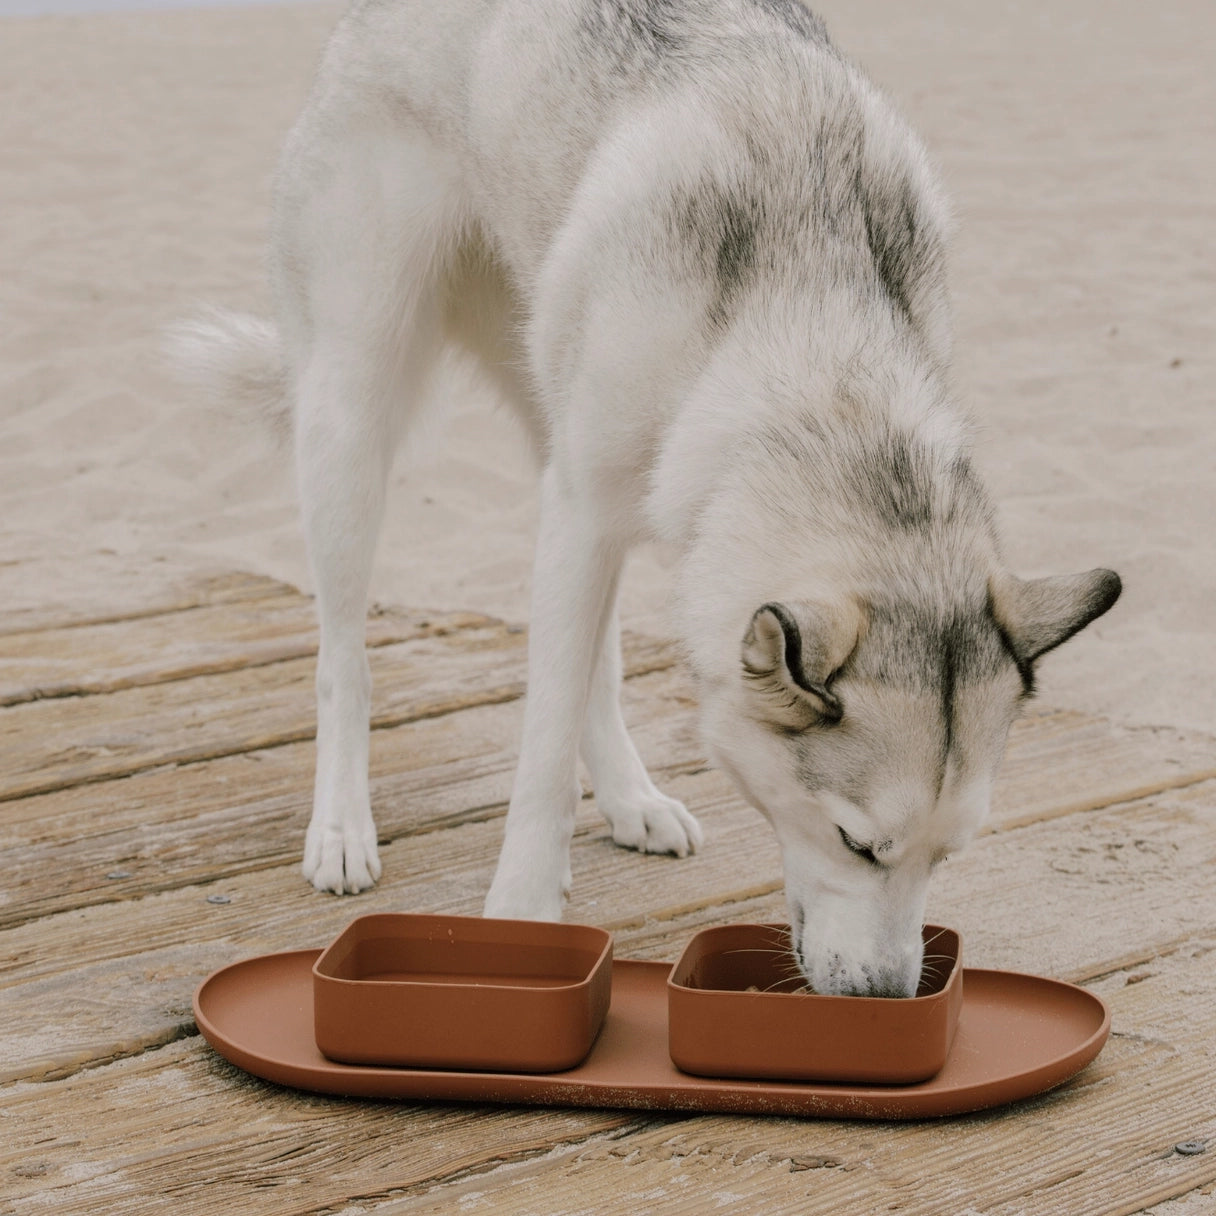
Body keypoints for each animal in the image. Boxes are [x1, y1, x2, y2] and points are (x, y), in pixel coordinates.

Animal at [173, 0, 1118, 997]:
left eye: (950, 853)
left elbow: (589, 673)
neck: (811, 333)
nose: (892, 996)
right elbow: (542, 754)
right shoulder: (583, 511)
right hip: (353, 412)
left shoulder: (601, 508)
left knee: (592, 657)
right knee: (345, 657)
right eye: (859, 844)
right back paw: (343, 826)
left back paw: (630, 798)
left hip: (557, 432)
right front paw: (521, 916)